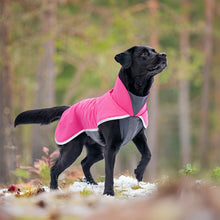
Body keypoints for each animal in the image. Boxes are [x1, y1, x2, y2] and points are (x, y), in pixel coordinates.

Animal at [15, 46, 167, 196]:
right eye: (144, 53)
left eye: (154, 51)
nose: (164, 55)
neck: (131, 101)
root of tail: (68, 109)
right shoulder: (111, 147)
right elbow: (109, 172)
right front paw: (109, 193)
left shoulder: (139, 135)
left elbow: (148, 154)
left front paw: (139, 172)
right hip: (72, 149)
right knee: (55, 168)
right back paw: (54, 190)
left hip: (96, 150)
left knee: (84, 163)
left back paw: (92, 183)